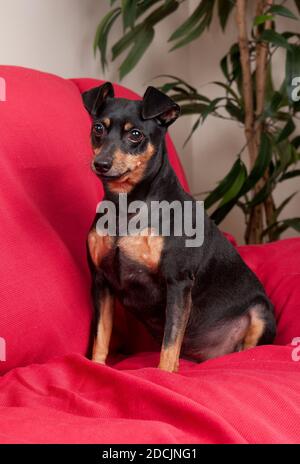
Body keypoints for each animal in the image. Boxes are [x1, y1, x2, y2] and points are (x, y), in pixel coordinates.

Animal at [82, 82, 276, 374]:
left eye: (136, 135)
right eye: (98, 129)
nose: (101, 164)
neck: (127, 206)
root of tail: (217, 355)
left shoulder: (178, 282)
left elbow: (170, 342)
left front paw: (163, 375)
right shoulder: (102, 281)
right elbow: (101, 338)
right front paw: (97, 366)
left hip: (261, 312)